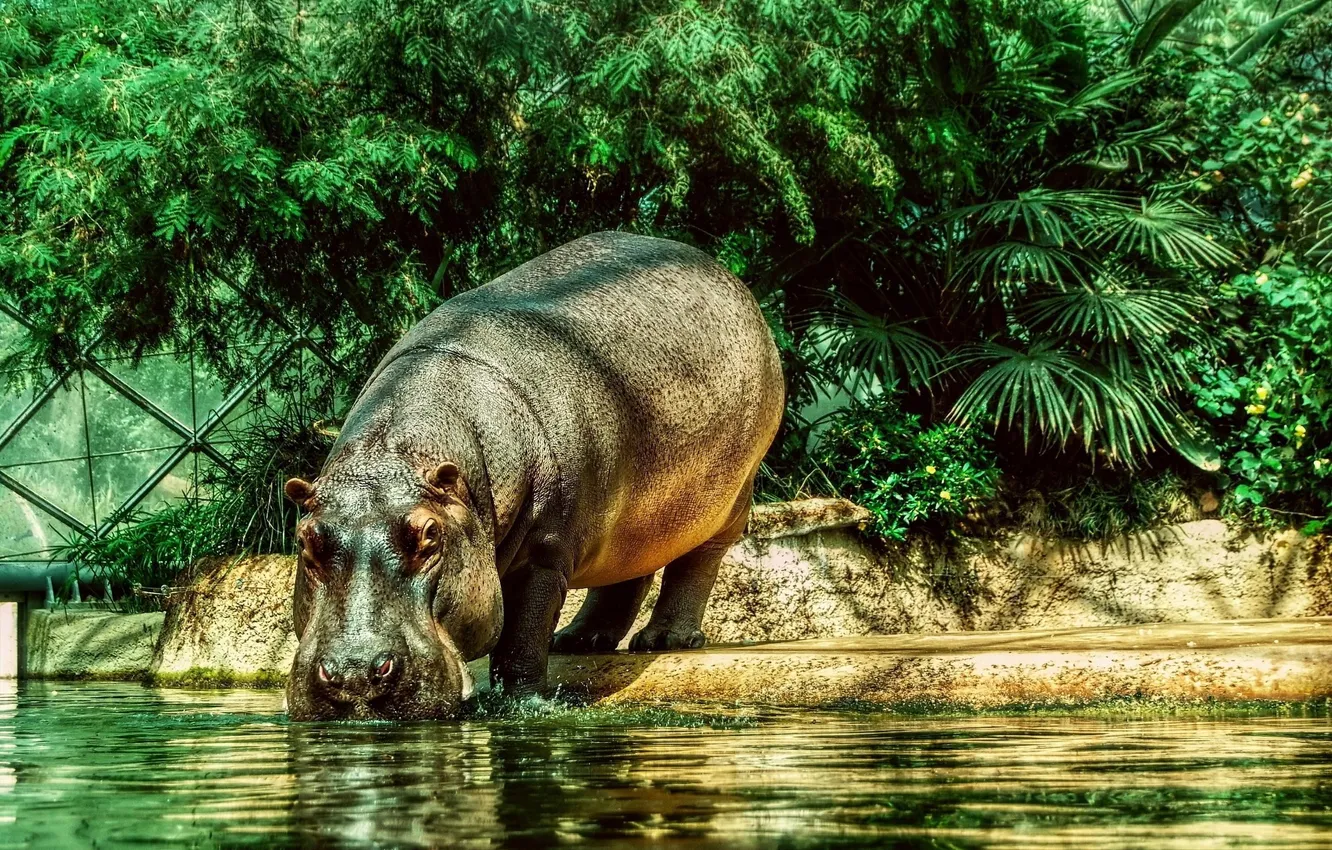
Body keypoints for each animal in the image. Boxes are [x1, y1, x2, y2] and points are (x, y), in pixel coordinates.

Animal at [282, 231, 784, 720]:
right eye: (305, 540)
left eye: (429, 535)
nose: (355, 675)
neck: (397, 454)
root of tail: (724, 274)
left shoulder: (544, 552)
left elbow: (522, 637)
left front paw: (521, 703)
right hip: (633, 515)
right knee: (629, 572)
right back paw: (578, 641)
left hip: (730, 496)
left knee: (698, 562)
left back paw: (664, 640)